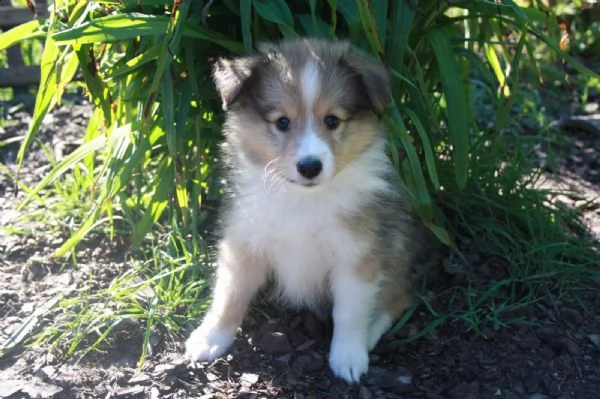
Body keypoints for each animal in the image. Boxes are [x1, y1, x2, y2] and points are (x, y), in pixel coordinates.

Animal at [186, 38, 418, 384]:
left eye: (332, 120)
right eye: (282, 122)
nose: (310, 167)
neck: (302, 199)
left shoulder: (357, 255)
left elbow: (350, 313)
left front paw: (348, 357)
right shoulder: (245, 242)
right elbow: (229, 294)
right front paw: (210, 338)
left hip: (396, 249)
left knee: (396, 300)